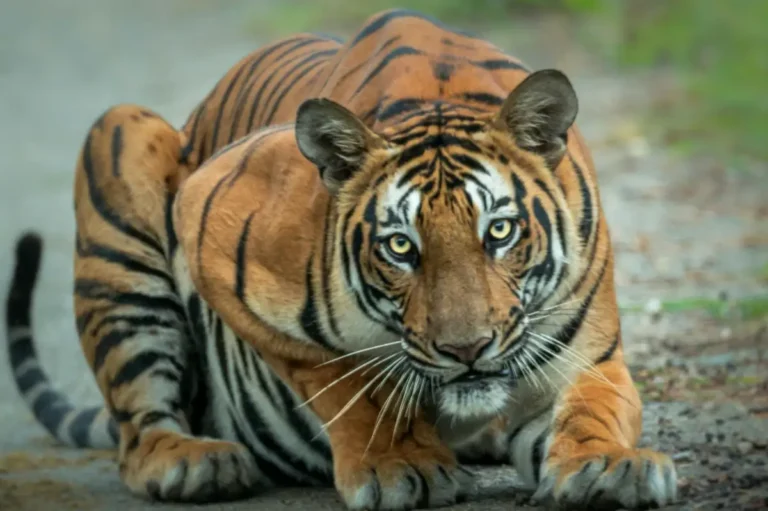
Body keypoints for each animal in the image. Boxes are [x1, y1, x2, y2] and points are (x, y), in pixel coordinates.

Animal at [4, 9, 677, 510]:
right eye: (401, 246)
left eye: (501, 231)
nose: (466, 351)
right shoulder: (208, 221)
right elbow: (345, 379)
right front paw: (398, 464)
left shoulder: (586, 352)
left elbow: (595, 405)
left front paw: (608, 464)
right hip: (121, 140)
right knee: (138, 430)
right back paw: (193, 462)